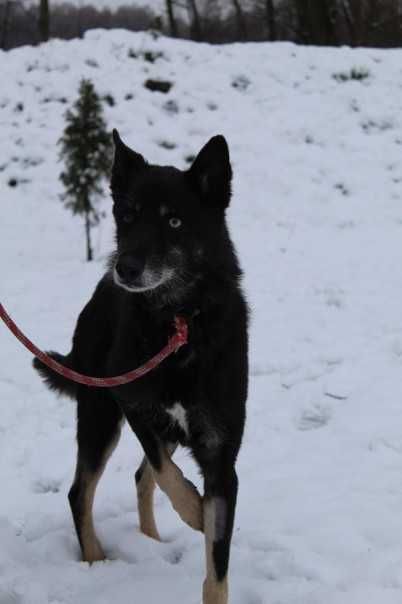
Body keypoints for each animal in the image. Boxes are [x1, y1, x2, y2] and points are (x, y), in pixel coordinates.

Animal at [33, 132, 248, 604]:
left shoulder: (221, 452)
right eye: (127, 215)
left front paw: (206, 523)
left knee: (137, 477)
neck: (179, 324)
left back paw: (150, 540)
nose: (125, 269)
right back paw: (95, 560)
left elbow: (217, 567)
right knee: (81, 492)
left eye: (175, 222)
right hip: (99, 414)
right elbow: (169, 475)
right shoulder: (131, 401)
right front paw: (196, 513)